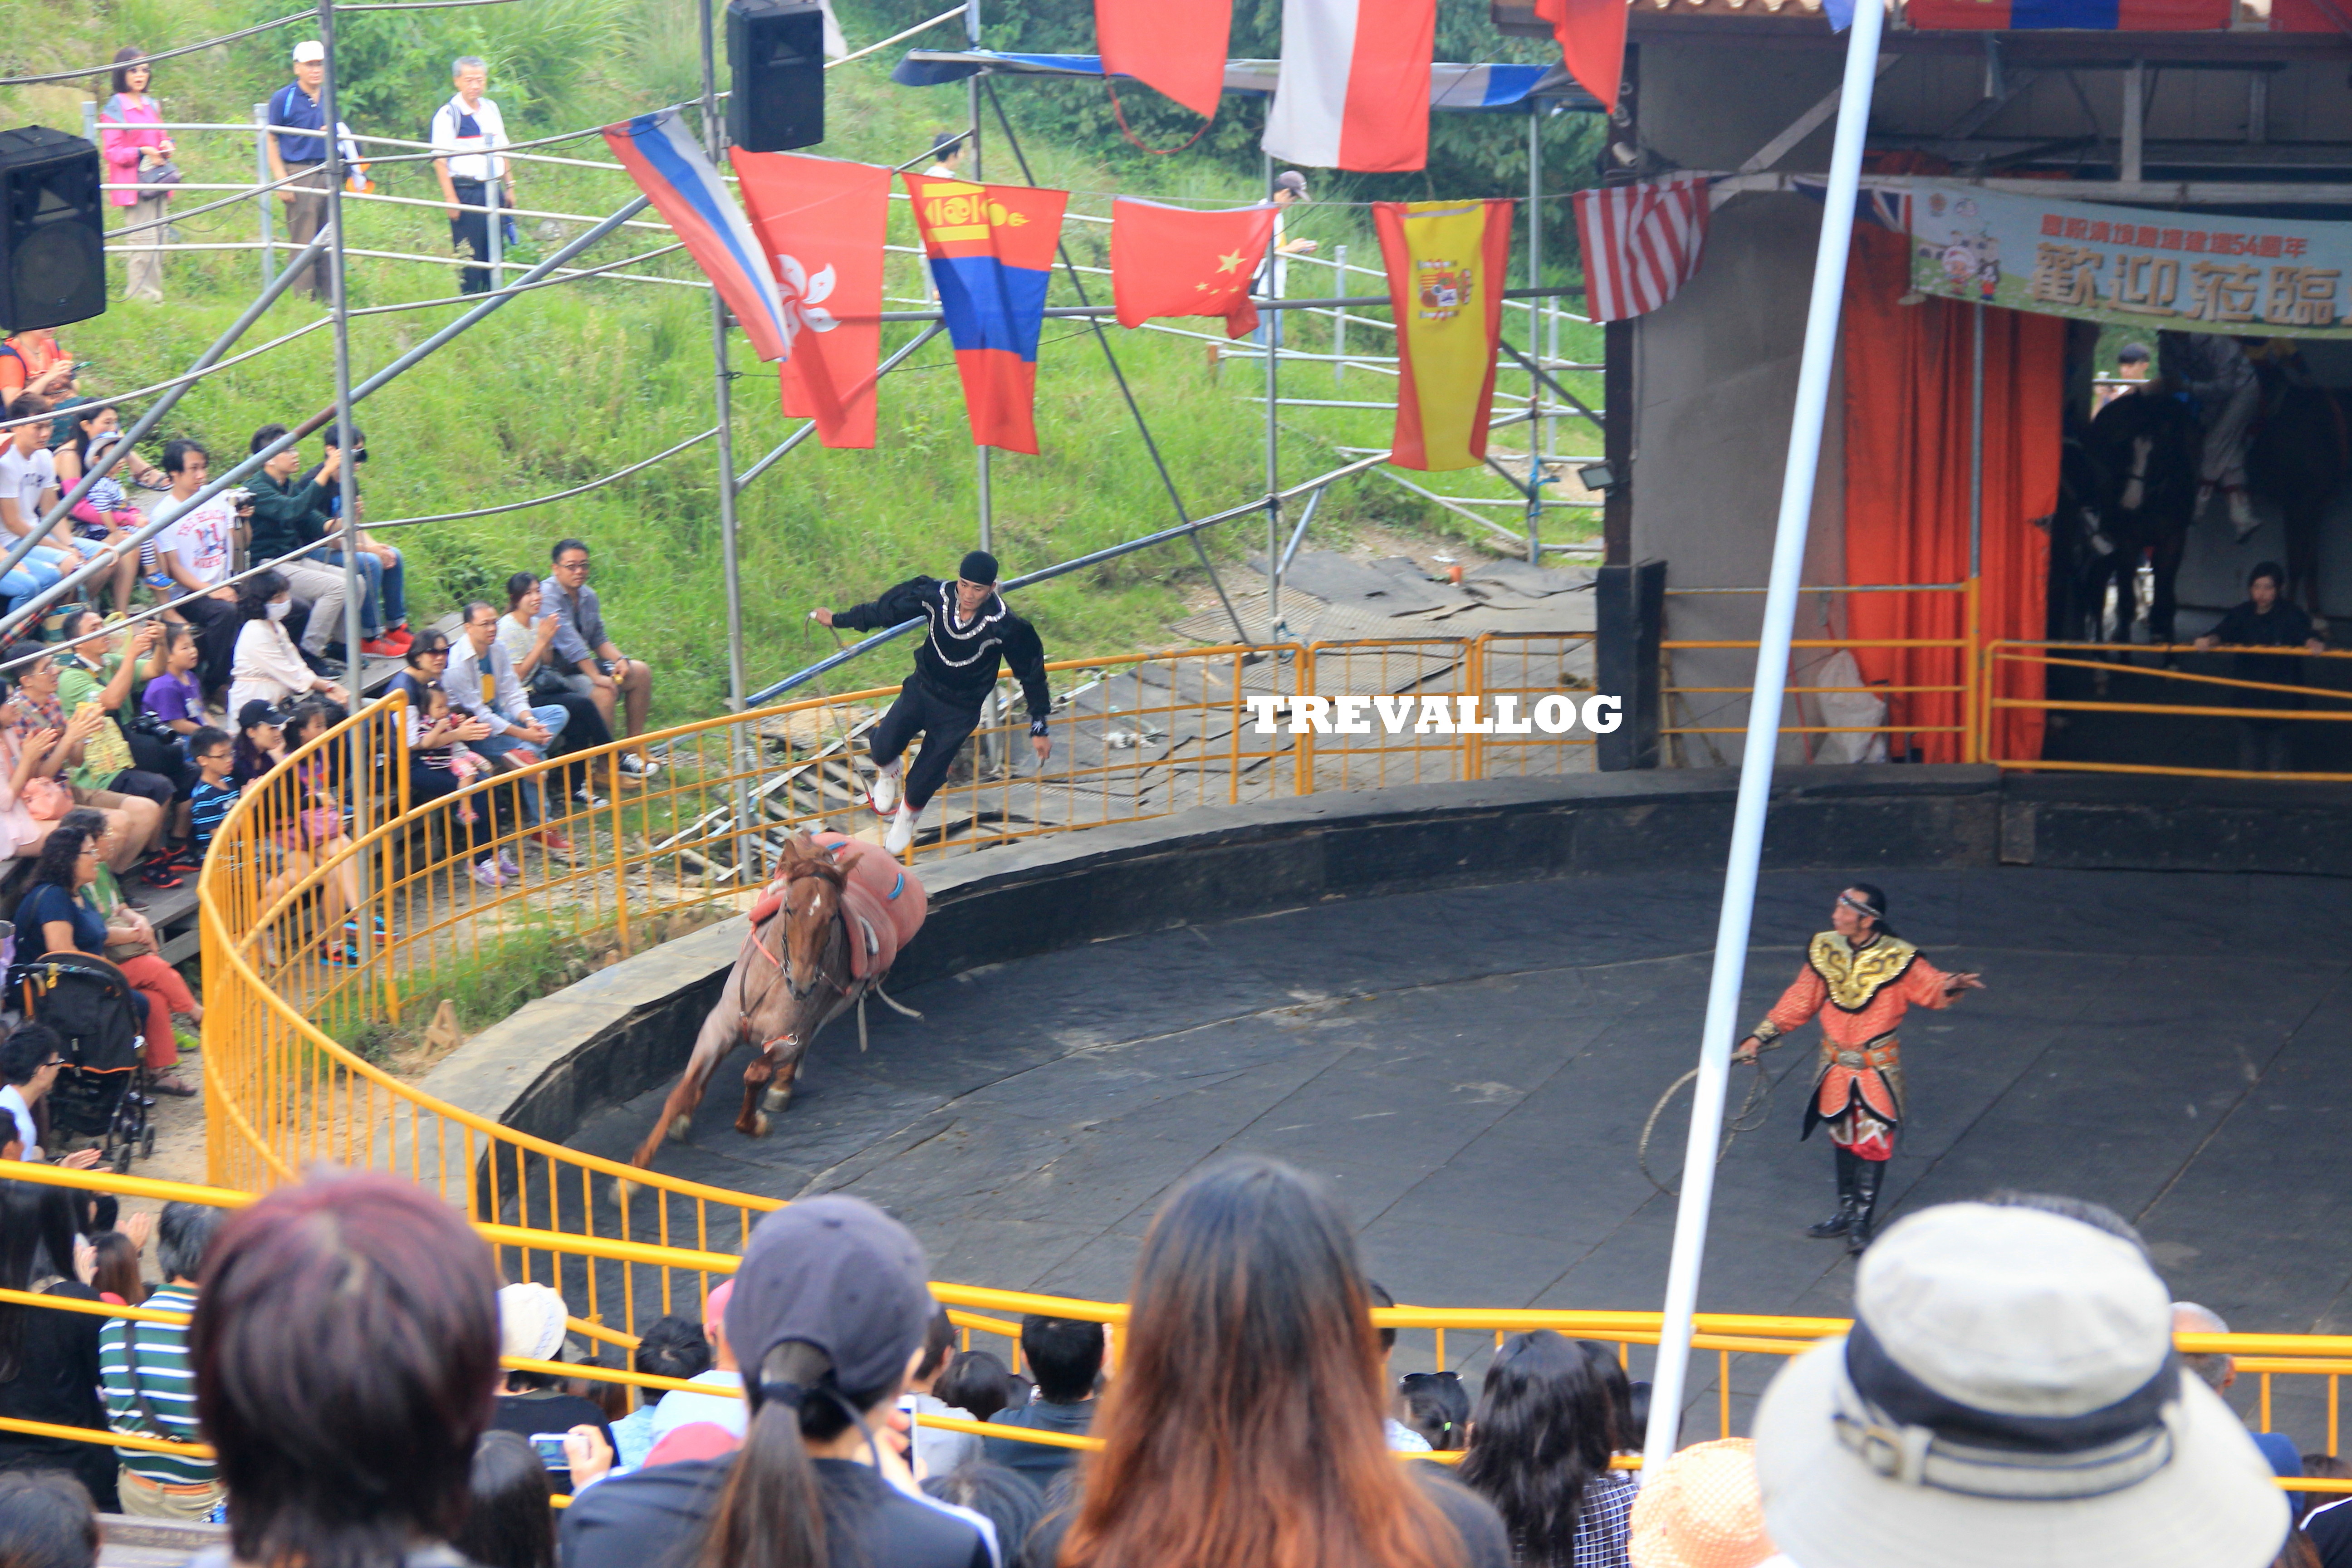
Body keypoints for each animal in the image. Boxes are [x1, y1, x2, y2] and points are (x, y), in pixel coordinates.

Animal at [616, 827, 926, 1194]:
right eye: (789, 908)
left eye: (832, 916)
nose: (803, 982)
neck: (772, 984)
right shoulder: (718, 1028)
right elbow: (681, 1092)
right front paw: (633, 1175)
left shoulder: (786, 1039)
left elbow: (756, 1073)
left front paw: (756, 1122)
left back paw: (782, 1087)